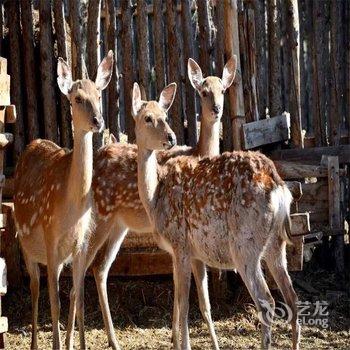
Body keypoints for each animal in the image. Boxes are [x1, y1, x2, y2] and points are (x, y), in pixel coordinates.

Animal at [14, 50, 113, 348]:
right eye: (77, 98)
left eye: (98, 94)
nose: (98, 121)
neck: (72, 206)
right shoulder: (50, 237)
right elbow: (55, 302)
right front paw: (58, 344)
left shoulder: (81, 242)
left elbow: (78, 298)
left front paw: (79, 344)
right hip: (26, 244)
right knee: (36, 289)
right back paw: (35, 343)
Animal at [65, 56, 238, 348]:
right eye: (203, 92)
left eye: (223, 90)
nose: (216, 109)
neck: (198, 154)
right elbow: (196, 300)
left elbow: (180, 293)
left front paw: (174, 337)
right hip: (99, 219)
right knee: (80, 267)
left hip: (119, 226)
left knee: (99, 269)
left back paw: (112, 339)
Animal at [131, 82, 300, 350]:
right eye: (147, 117)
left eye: (165, 117)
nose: (171, 137)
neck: (154, 194)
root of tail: (278, 187)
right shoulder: (195, 254)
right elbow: (194, 304)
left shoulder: (180, 245)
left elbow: (183, 305)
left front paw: (183, 345)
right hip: (276, 244)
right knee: (291, 297)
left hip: (245, 245)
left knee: (267, 300)